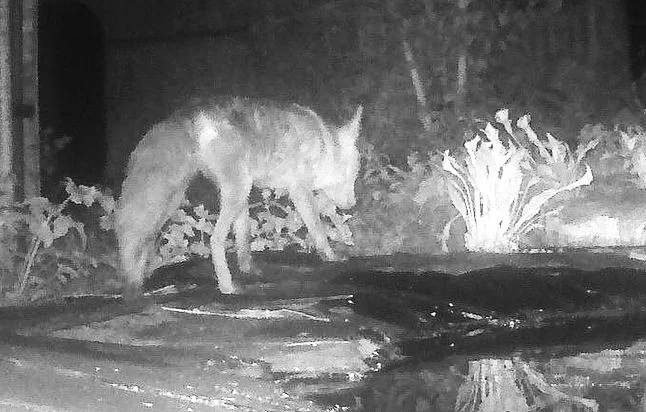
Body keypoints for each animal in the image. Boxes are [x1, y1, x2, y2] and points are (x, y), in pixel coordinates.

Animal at [115, 96, 363, 295]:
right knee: (215, 240)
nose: (352, 204)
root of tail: (193, 115)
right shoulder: (300, 189)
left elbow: (245, 235)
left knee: (139, 236)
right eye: (352, 175)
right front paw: (331, 256)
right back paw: (226, 286)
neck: (323, 146)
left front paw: (248, 268)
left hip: (188, 196)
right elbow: (319, 229)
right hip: (232, 190)